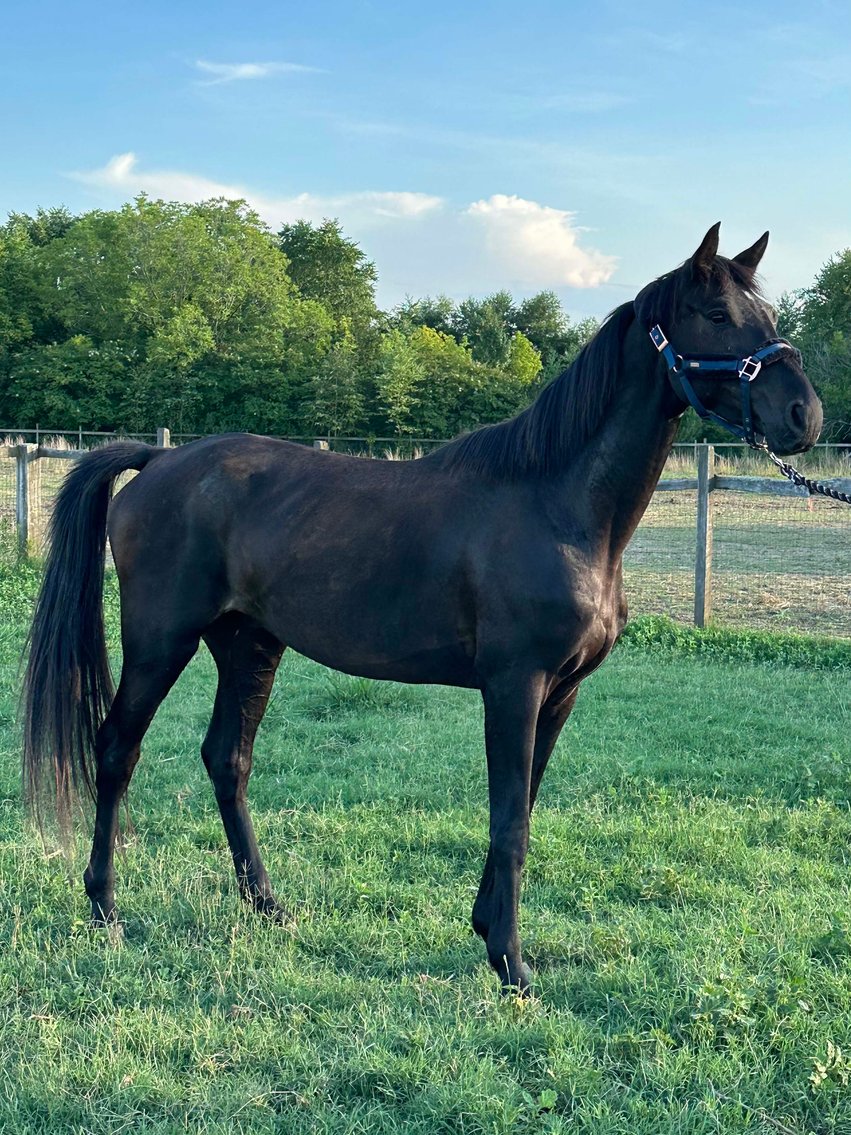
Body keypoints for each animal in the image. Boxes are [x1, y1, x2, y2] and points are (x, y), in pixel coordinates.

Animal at [22, 224, 822, 993]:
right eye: (716, 316)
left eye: (768, 317)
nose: (803, 416)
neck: (557, 504)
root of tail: (159, 461)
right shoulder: (514, 686)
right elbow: (510, 821)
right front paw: (511, 965)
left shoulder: (560, 692)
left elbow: (521, 808)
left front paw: (486, 929)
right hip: (161, 641)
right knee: (116, 750)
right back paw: (105, 906)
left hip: (248, 644)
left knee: (227, 758)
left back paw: (267, 903)